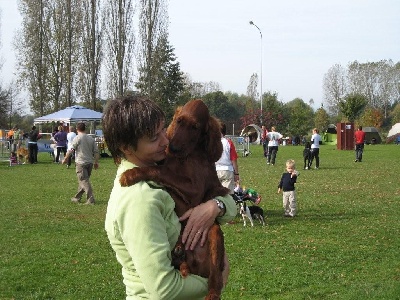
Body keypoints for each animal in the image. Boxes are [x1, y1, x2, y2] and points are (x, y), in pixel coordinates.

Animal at [119, 99, 228, 298]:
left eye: (195, 127)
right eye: (178, 121)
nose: (173, 148)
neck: (186, 155)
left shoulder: (195, 189)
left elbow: (159, 170)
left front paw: (130, 174)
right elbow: (164, 171)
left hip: (214, 232)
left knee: (215, 280)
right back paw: (178, 251)